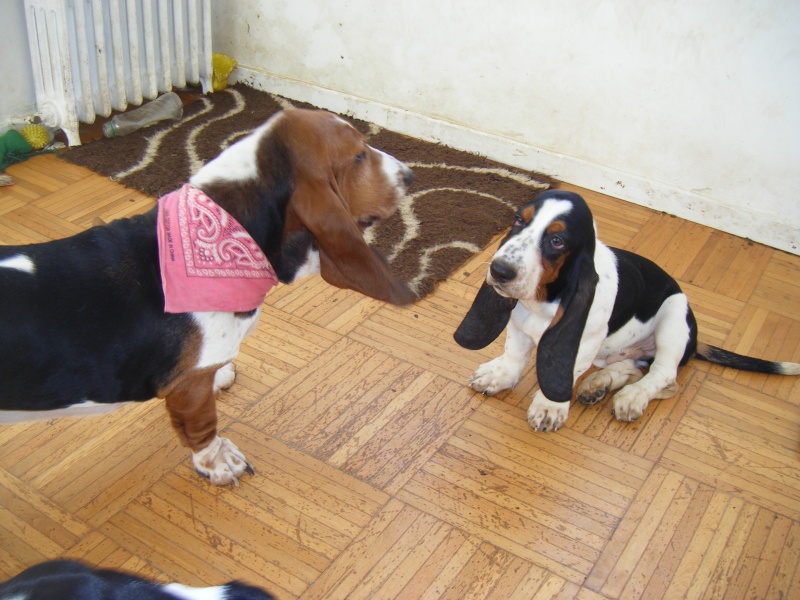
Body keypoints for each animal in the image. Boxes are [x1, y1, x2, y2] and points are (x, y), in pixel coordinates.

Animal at [3, 110, 418, 488]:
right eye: (359, 157)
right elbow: (201, 425)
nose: (410, 175)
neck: (229, 233)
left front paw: (223, 374)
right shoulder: (189, 386)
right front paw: (218, 461)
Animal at [456, 190, 800, 428]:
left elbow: (563, 373)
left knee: (664, 377)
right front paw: (499, 376)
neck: (542, 302)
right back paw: (599, 385)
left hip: (674, 317)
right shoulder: (517, 324)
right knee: (633, 366)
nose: (500, 271)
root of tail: (696, 341)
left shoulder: (582, 344)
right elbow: (515, 354)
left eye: (556, 240)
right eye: (518, 220)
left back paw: (631, 396)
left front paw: (549, 407)